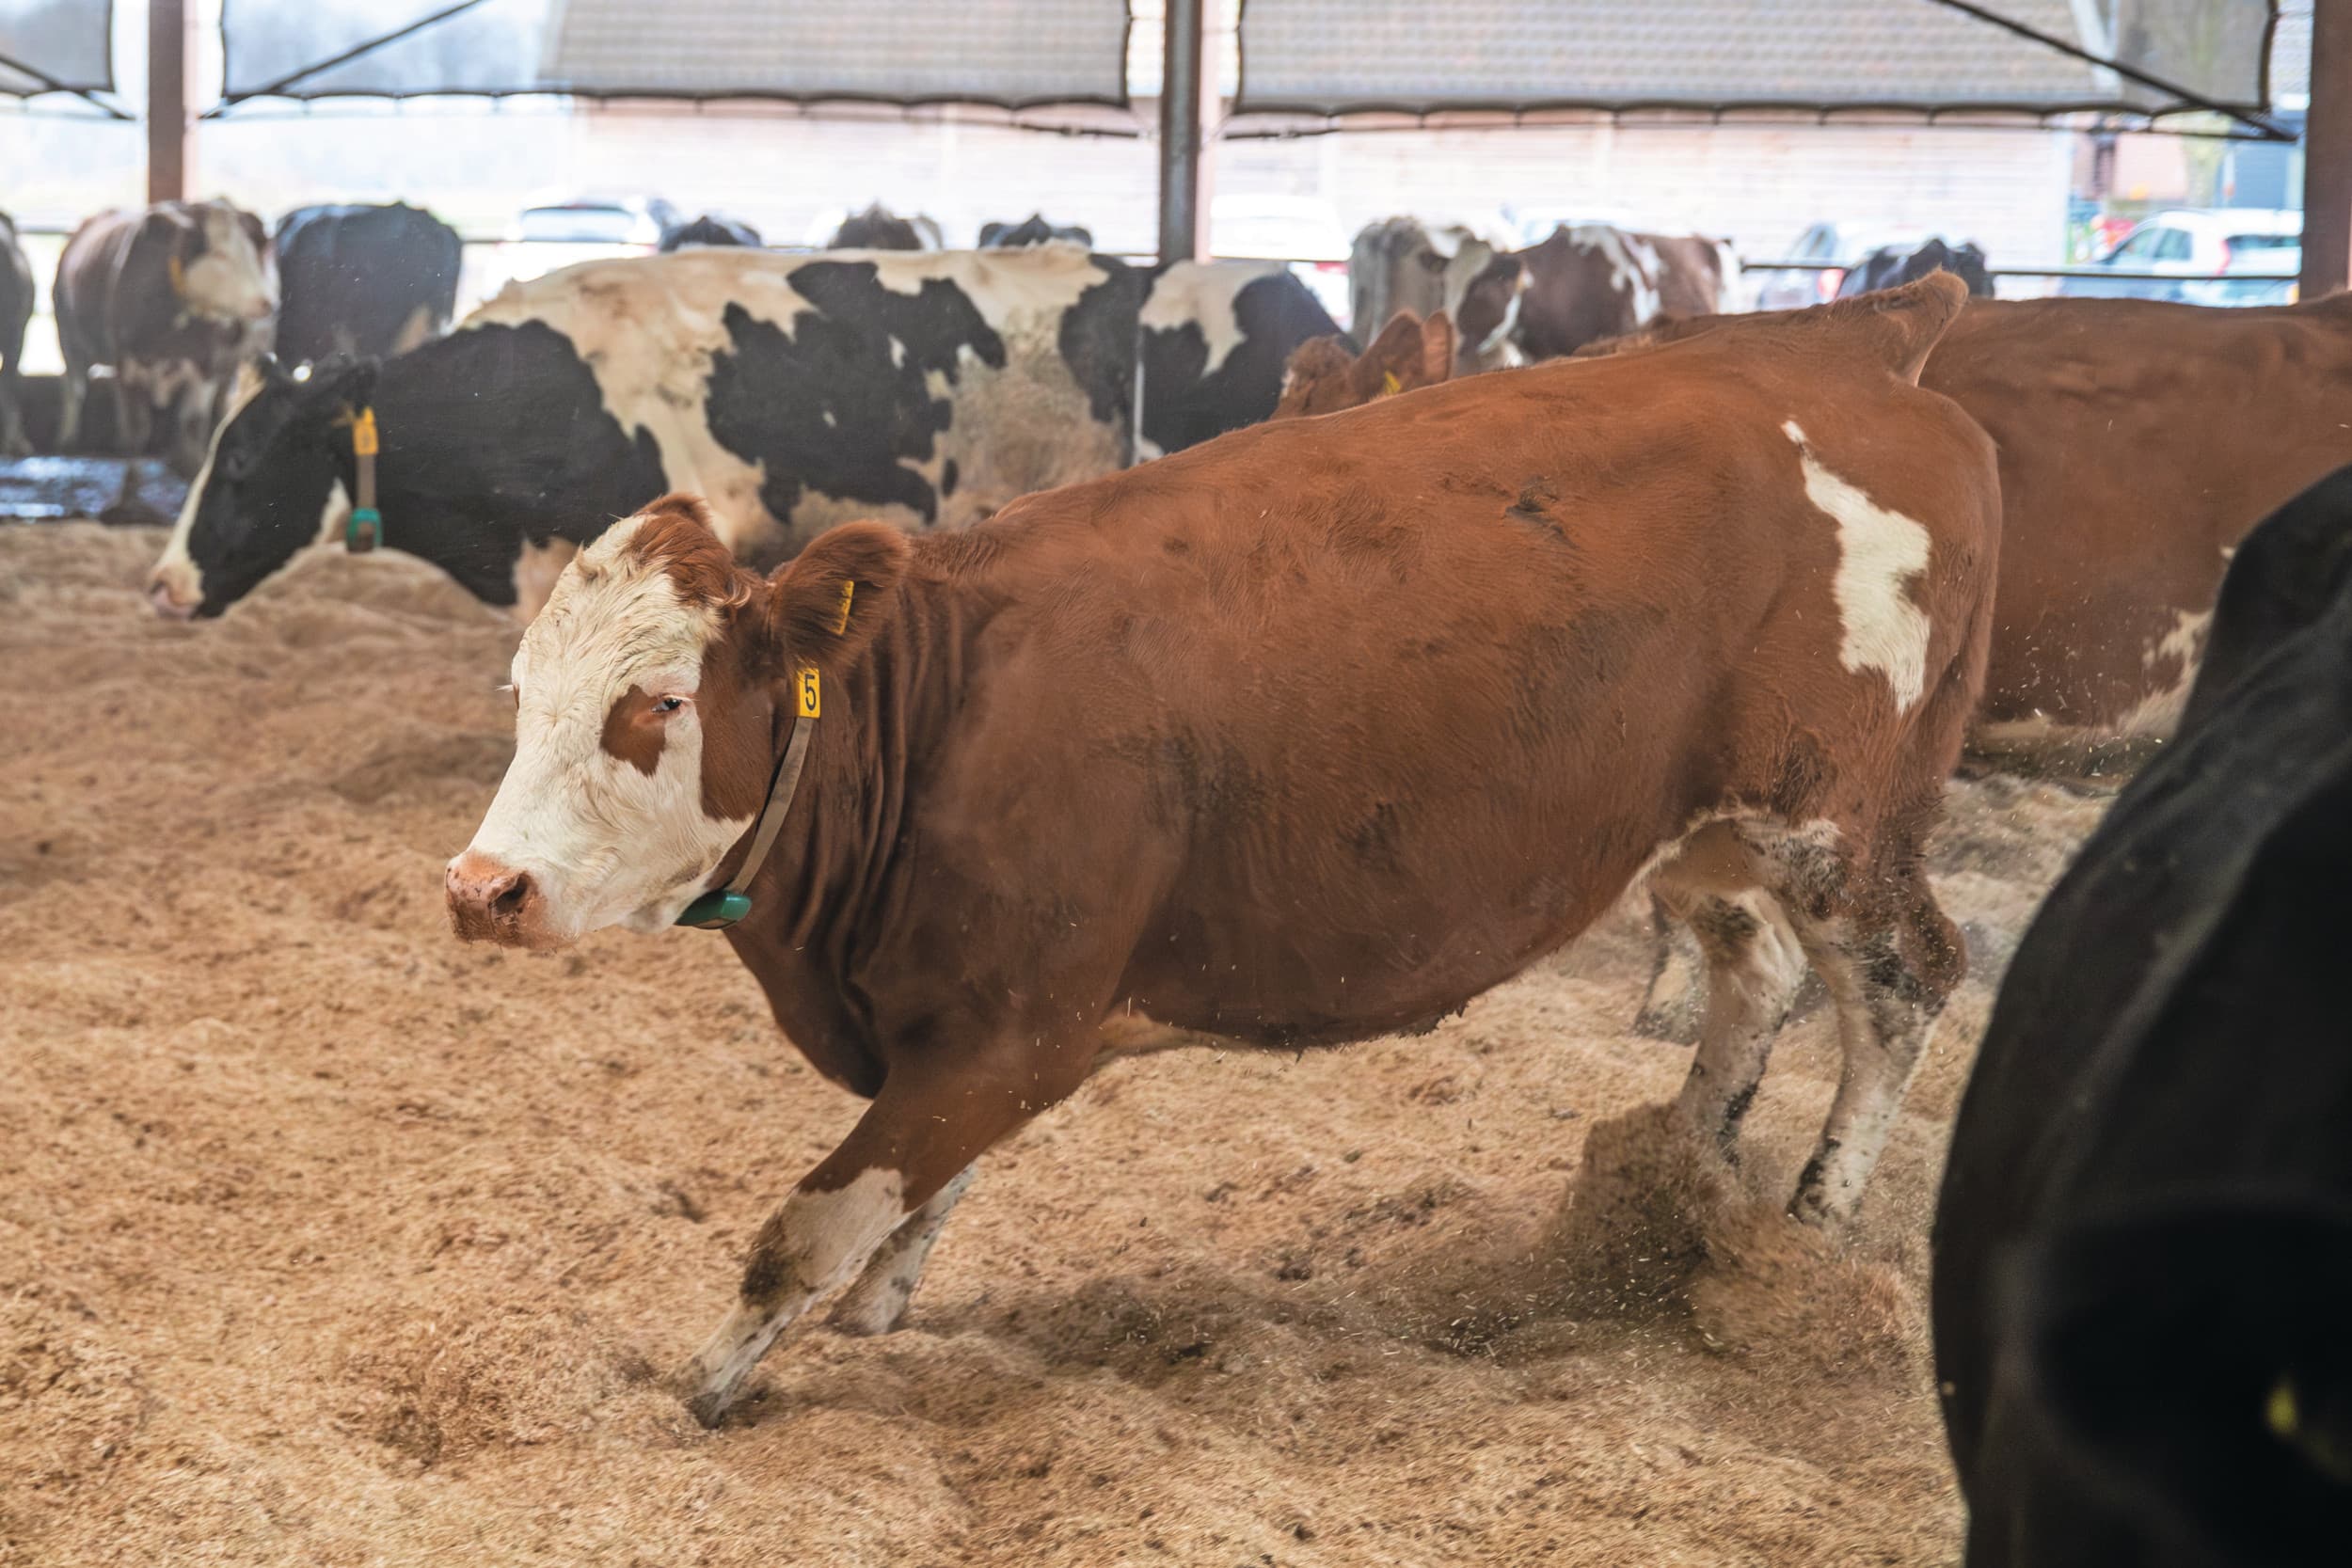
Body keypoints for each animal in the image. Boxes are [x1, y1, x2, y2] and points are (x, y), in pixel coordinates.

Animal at [54, 200, 276, 474]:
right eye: (219, 254)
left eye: (254, 254)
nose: (267, 302)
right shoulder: (126, 363)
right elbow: (137, 428)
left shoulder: (206, 366)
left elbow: (192, 423)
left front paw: (195, 465)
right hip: (68, 338)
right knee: (74, 388)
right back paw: (68, 438)